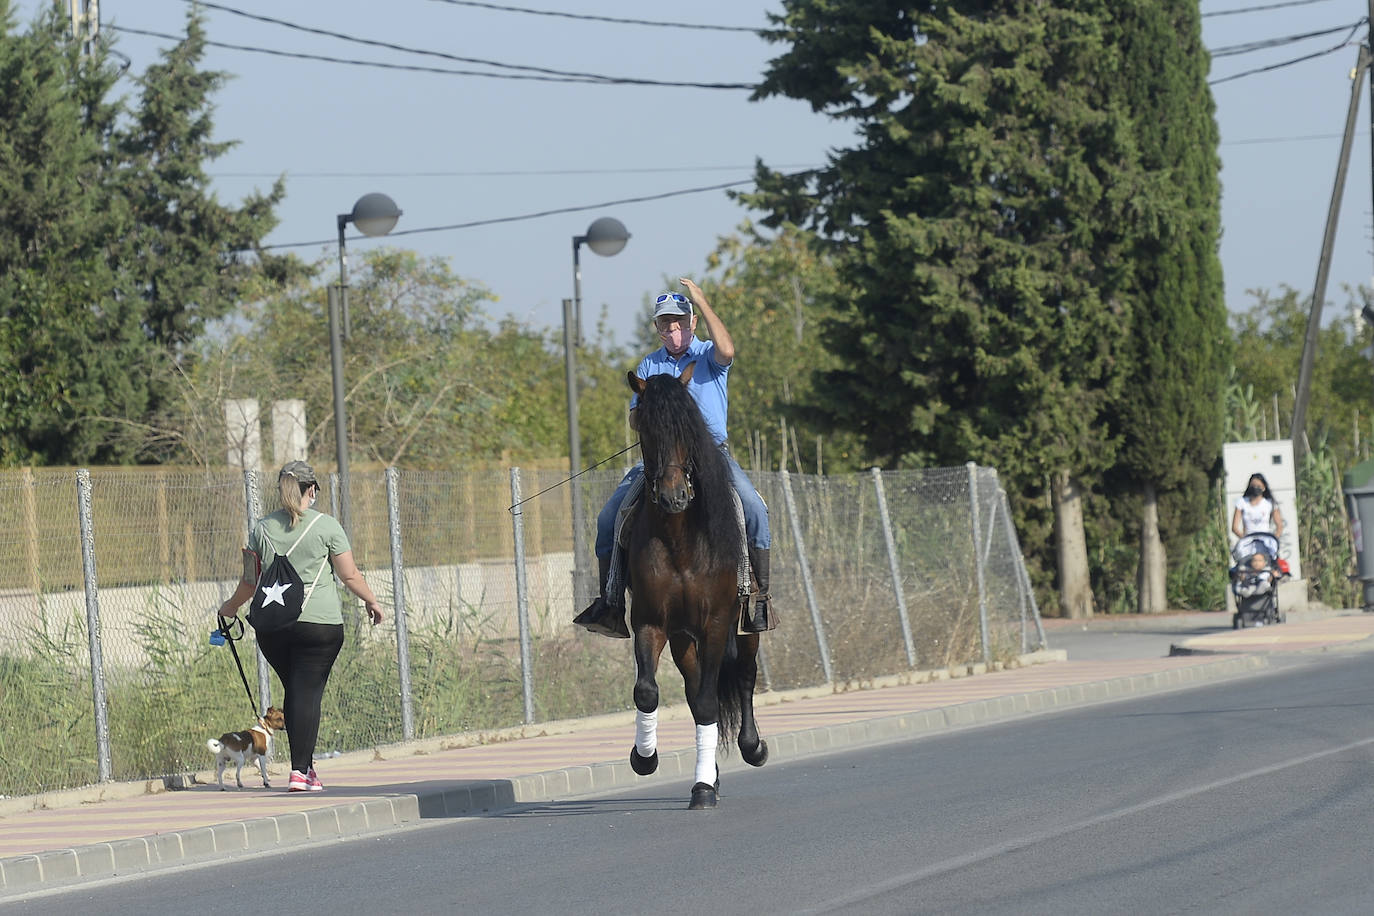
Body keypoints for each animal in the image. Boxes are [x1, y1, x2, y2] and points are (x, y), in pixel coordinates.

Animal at [626, 362, 769, 807]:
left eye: (689, 428)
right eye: (645, 429)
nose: (674, 497)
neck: (680, 538)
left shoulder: (719, 622)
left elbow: (709, 702)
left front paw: (703, 788)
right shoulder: (651, 622)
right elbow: (647, 692)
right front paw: (645, 759)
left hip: (746, 625)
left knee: (745, 675)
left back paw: (752, 748)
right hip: (683, 638)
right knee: (692, 689)